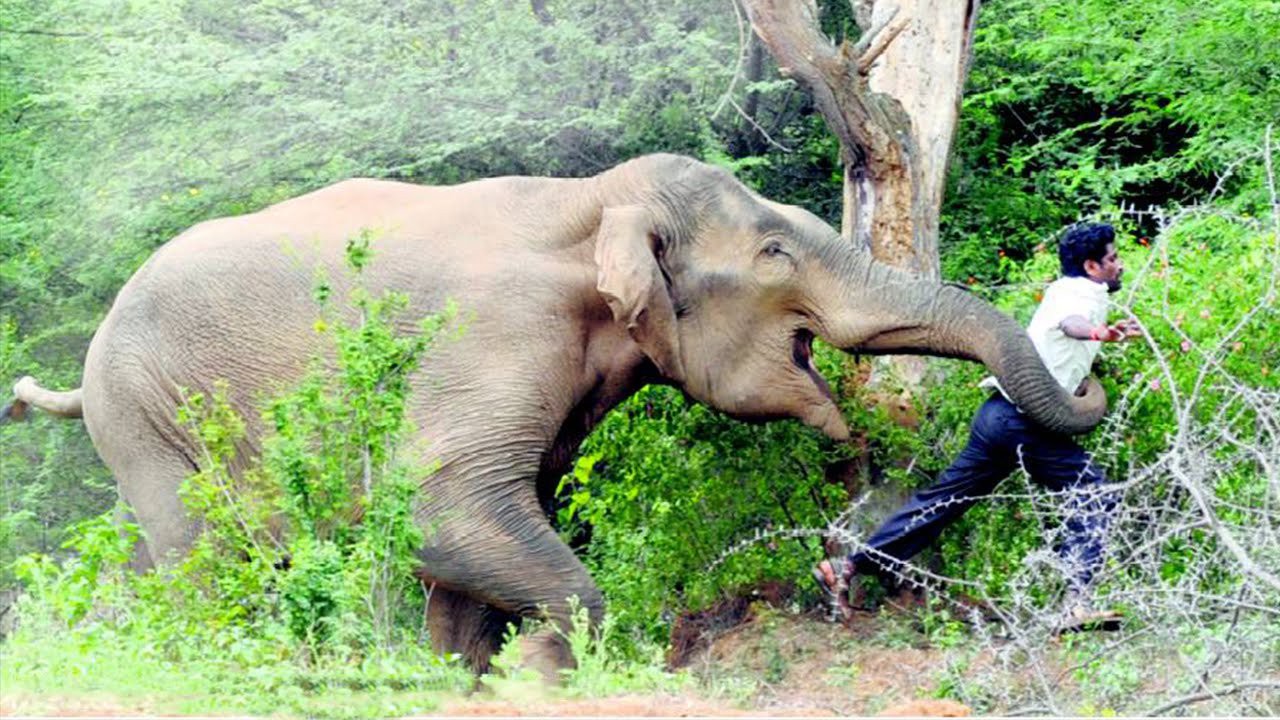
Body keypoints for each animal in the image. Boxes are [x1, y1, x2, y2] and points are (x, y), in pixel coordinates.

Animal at [2, 151, 1100, 671]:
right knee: (207, 563)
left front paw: (467, 678)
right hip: (146, 415)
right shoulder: (494, 339)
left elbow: (475, 533)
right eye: (775, 253)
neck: (591, 201)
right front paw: (547, 665)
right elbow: (446, 508)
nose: (856, 463)